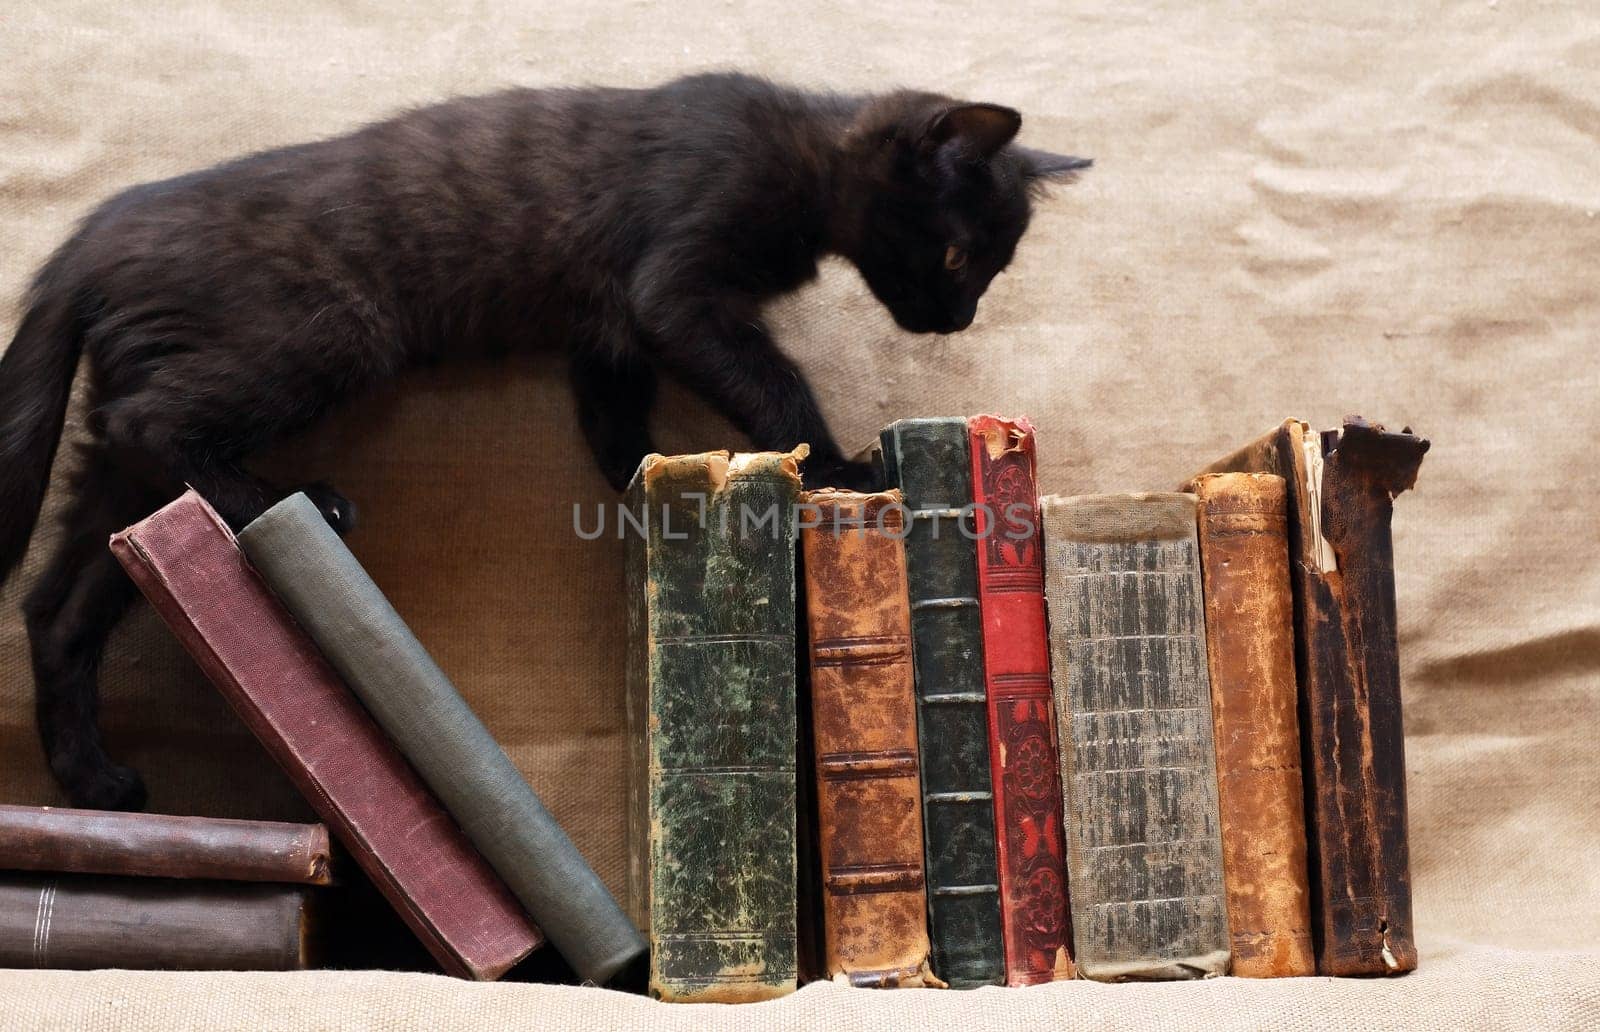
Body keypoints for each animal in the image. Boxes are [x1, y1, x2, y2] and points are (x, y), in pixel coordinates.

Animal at [0, 74, 1088, 812]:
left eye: (989, 267)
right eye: (957, 253)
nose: (956, 320)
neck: (807, 150)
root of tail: (93, 235)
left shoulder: (608, 330)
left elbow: (613, 416)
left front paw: (638, 478)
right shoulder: (673, 287)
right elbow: (771, 381)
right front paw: (833, 463)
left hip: (123, 470)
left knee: (58, 603)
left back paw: (91, 776)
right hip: (330, 331)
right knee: (154, 425)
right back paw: (288, 499)